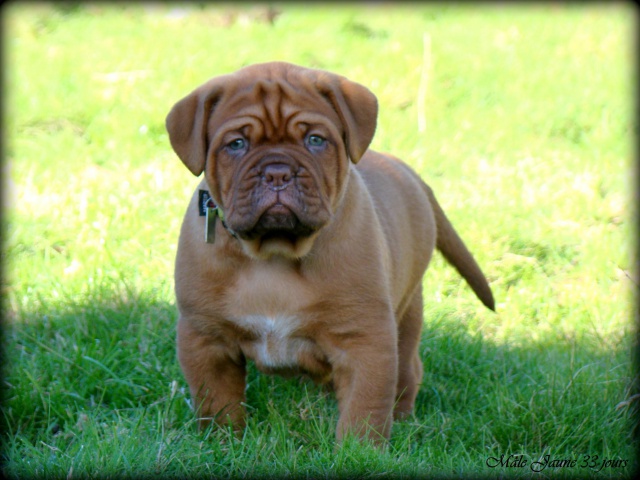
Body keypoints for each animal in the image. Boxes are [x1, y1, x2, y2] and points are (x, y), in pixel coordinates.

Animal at [166, 62, 496, 444]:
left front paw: (359, 451)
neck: (273, 253)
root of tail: (409, 173)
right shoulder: (206, 339)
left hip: (407, 312)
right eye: (236, 144)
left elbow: (364, 409)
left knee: (407, 370)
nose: (277, 172)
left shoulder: (365, 340)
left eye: (315, 140)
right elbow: (217, 402)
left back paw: (402, 420)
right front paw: (224, 445)